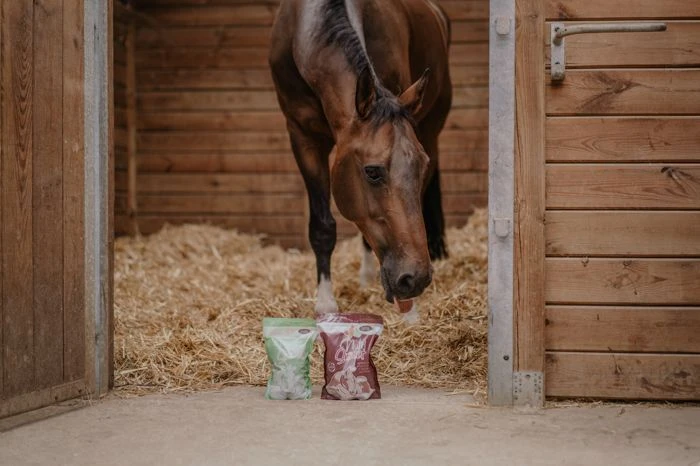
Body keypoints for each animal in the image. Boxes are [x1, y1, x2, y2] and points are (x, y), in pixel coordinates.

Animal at [269, 0, 452, 314]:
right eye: (372, 171)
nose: (415, 278)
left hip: (430, 127)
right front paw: (326, 303)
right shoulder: (302, 137)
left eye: (421, 165)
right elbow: (322, 226)